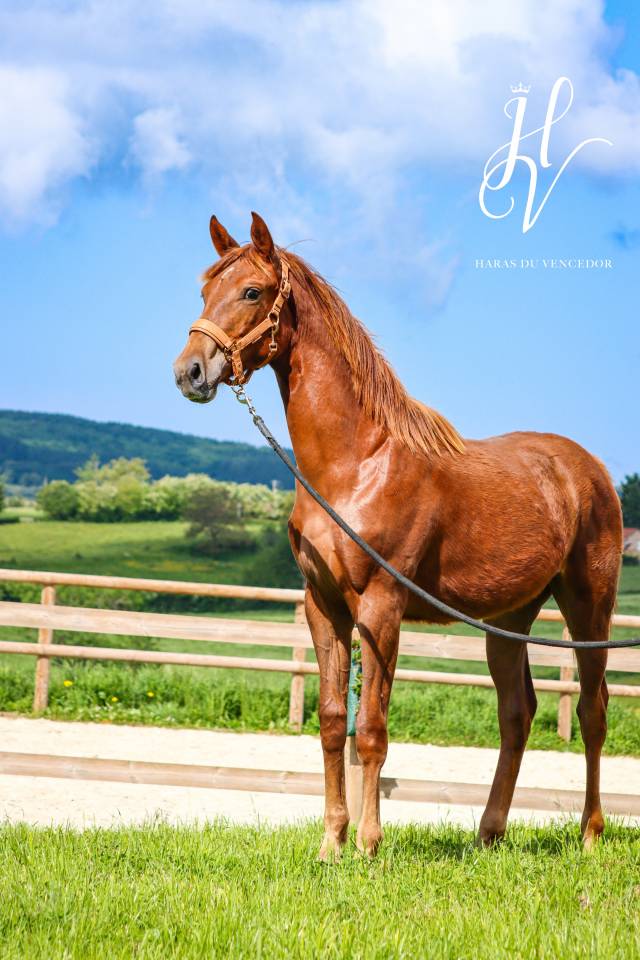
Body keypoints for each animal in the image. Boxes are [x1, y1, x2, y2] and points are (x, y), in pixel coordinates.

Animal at [174, 212, 622, 859]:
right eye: (205, 290)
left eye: (252, 292)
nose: (189, 372)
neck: (355, 465)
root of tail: (588, 468)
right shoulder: (325, 607)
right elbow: (333, 722)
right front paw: (331, 843)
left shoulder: (381, 608)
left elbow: (372, 731)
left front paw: (367, 846)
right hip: (509, 619)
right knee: (517, 713)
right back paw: (489, 833)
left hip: (589, 608)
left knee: (592, 710)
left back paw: (590, 834)